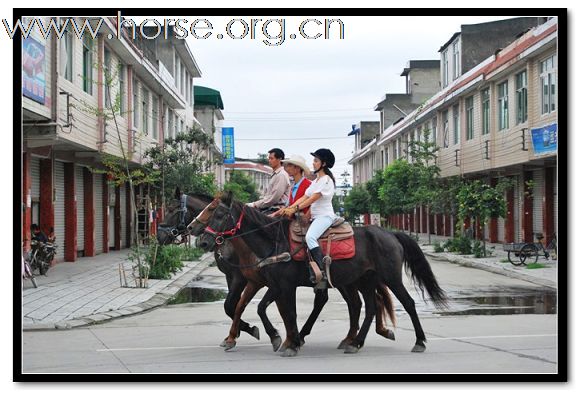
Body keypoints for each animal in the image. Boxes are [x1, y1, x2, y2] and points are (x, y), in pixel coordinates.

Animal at [197, 191, 446, 356]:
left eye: (218, 213)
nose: (203, 240)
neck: (275, 242)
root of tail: (391, 234)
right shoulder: (275, 285)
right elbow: (269, 310)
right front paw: (285, 339)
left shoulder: (282, 285)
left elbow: (285, 312)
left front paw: (288, 342)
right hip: (364, 280)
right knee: (368, 307)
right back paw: (354, 342)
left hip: (390, 278)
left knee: (408, 303)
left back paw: (419, 341)